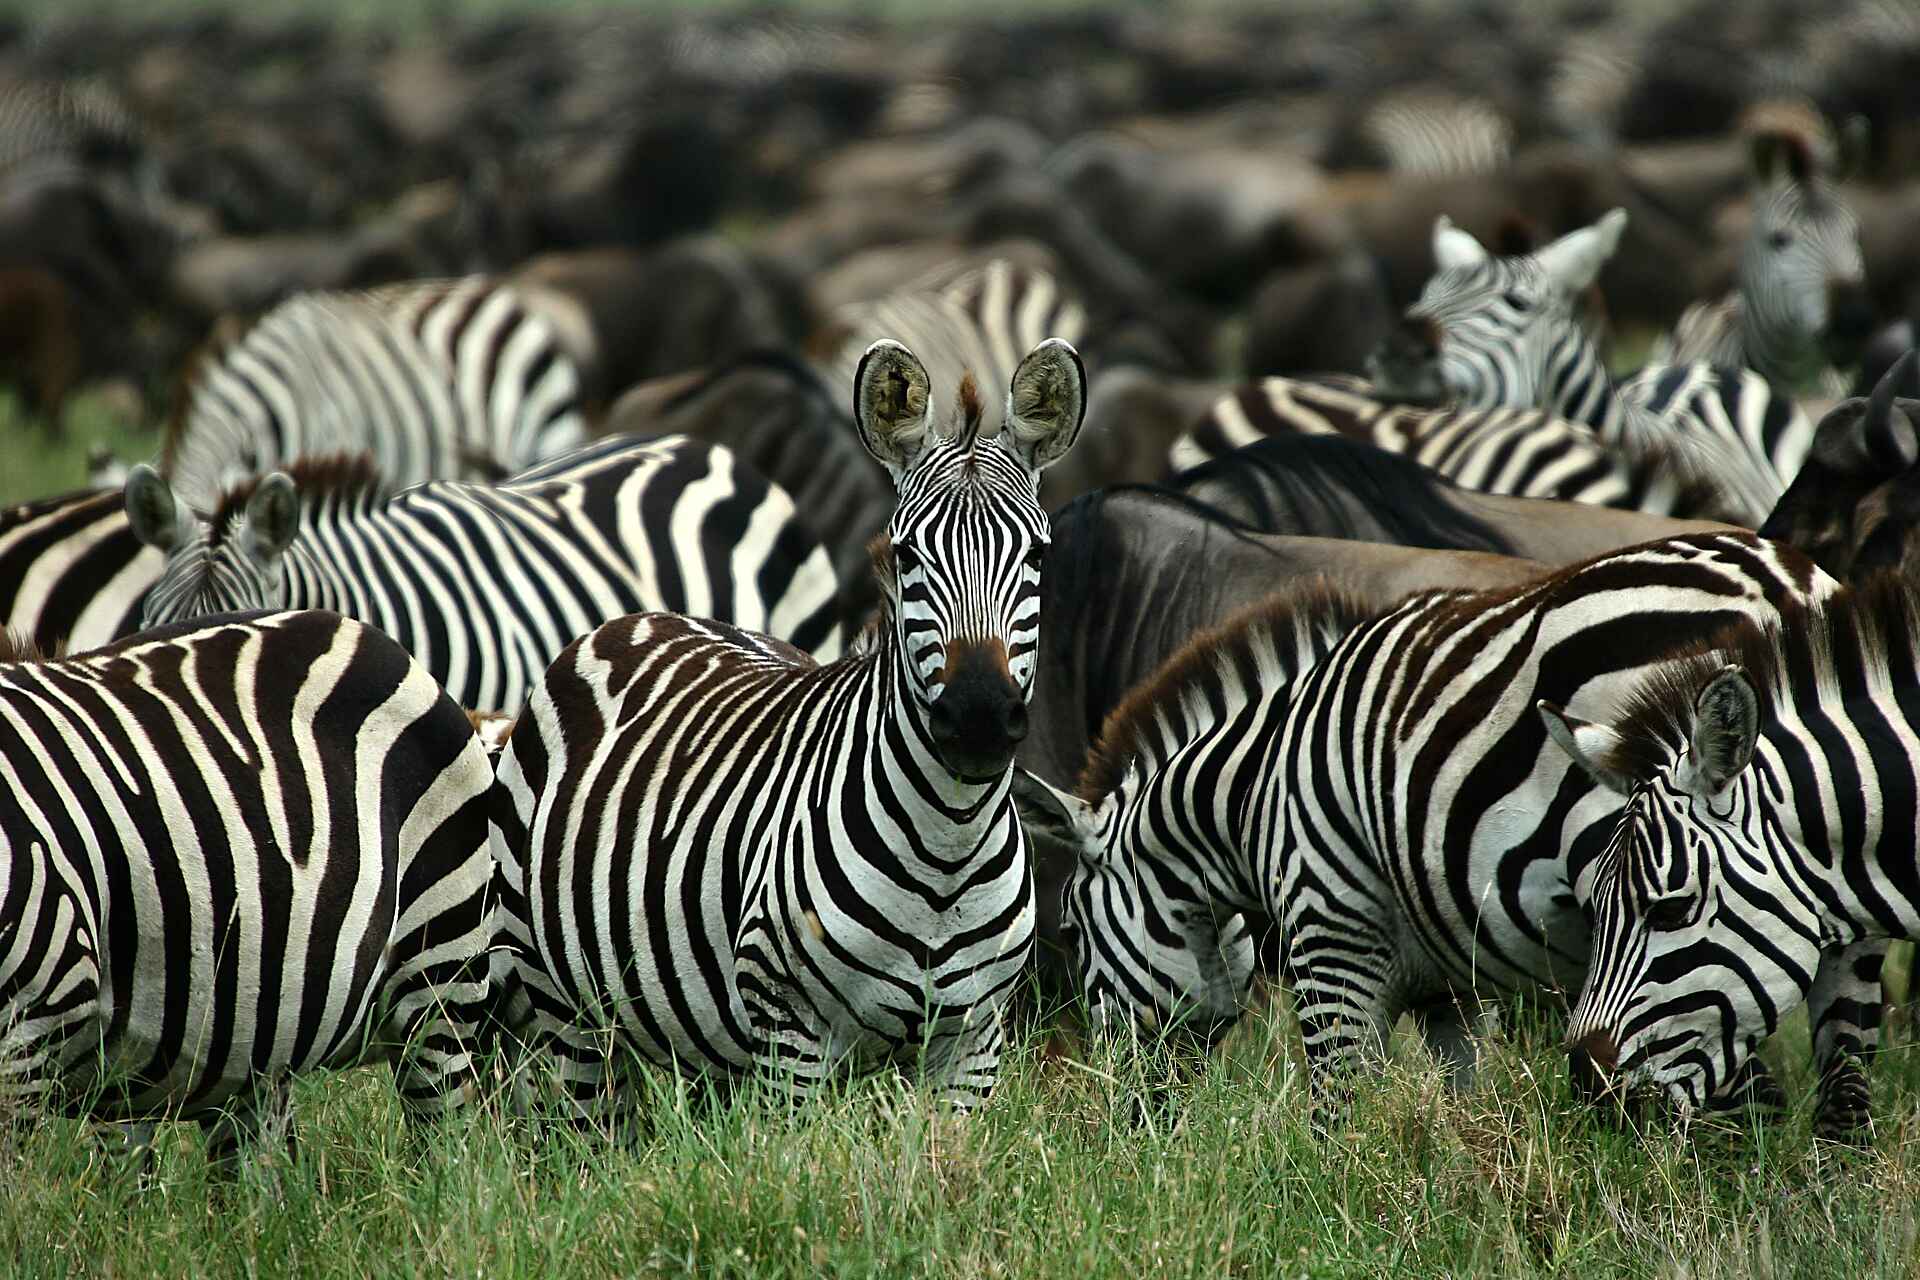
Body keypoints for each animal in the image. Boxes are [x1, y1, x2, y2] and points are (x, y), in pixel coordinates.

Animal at [489, 338, 1085, 1114]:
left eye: (1038, 555)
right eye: (905, 555)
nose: (980, 717)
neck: (946, 852)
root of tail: (638, 618)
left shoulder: (970, 1046)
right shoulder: (790, 1039)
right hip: (561, 1011)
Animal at [1017, 532, 1882, 1134]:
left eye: (1070, 932)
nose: (1127, 1129)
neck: (1252, 794)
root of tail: (1777, 582)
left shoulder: (1332, 942)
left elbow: (1337, 1113)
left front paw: (1331, 1218)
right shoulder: (1450, 992)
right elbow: (1458, 1110)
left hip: (1691, 937)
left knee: (1744, 1103)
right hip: (1842, 890)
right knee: (1843, 1094)